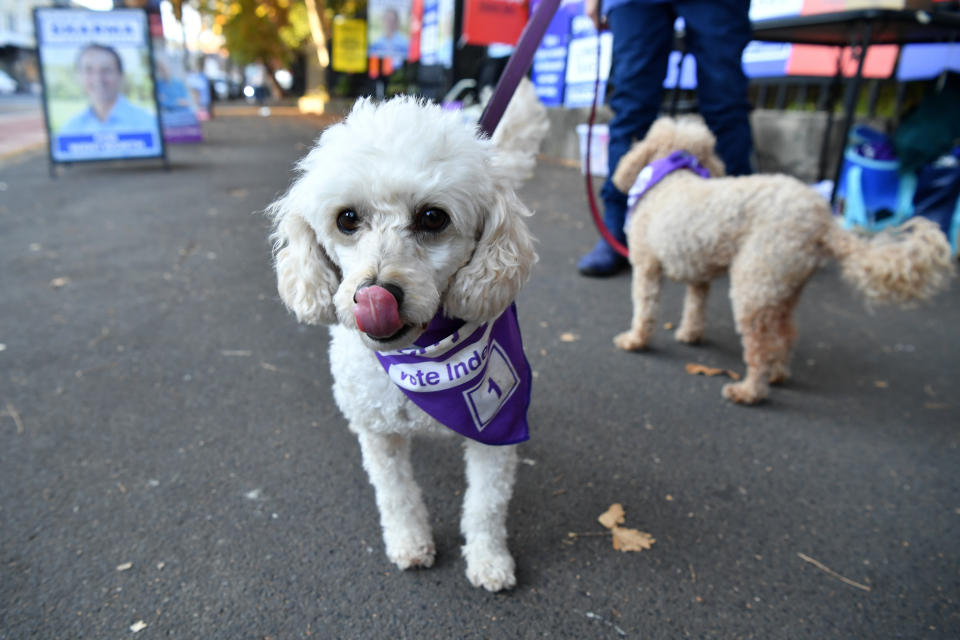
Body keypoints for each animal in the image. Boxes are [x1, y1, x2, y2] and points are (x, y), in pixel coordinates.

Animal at [612, 117, 956, 402]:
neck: (672, 173)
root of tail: (824, 221)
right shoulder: (699, 272)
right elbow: (695, 306)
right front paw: (689, 335)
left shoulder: (646, 265)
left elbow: (645, 308)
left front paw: (635, 340)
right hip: (782, 283)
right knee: (786, 333)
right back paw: (777, 373)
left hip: (754, 284)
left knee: (760, 347)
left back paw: (749, 391)